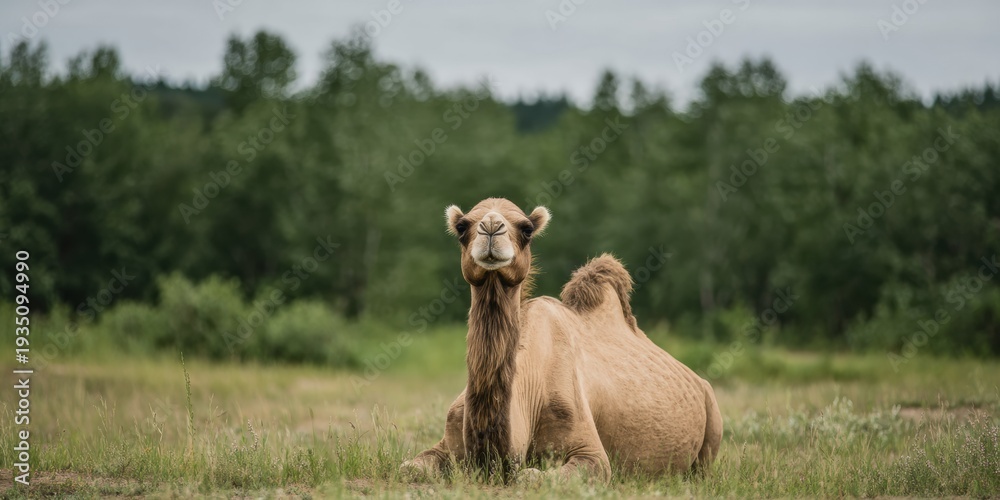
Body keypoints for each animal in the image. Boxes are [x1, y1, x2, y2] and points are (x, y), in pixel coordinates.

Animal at [400, 198, 722, 482]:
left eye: (527, 228)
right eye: (462, 226)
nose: (491, 227)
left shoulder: (592, 454)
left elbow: (531, 476)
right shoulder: (447, 442)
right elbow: (409, 469)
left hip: (712, 415)